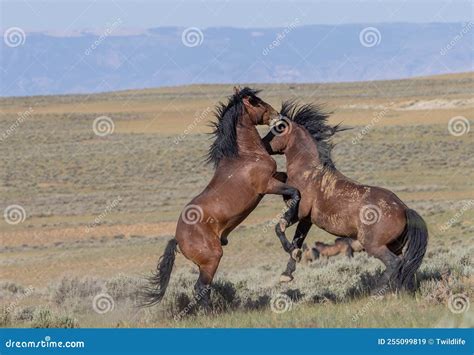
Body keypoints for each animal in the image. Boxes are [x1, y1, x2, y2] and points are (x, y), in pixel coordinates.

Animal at [141, 89, 302, 308]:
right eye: (255, 101)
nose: (277, 116)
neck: (245, 155)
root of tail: (178, 239)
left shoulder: (276, 177)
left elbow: (290, 187)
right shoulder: (267, 185)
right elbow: (295, 192)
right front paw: (288, 239)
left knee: (203, 289)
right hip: (212, 259)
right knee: (200, 288)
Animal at [262, 101, 430, 290]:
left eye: (279, 128)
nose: (261, 144)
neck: (308, 172)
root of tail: (404, 209)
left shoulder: (299, 212)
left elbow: (279, 227)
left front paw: (288, 251)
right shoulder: (306, 219)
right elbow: (298, 240)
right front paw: (287, 272)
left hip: (374, 246)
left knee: (394, 263)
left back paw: (376, 290)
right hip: (394, 245)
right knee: (401, 265)